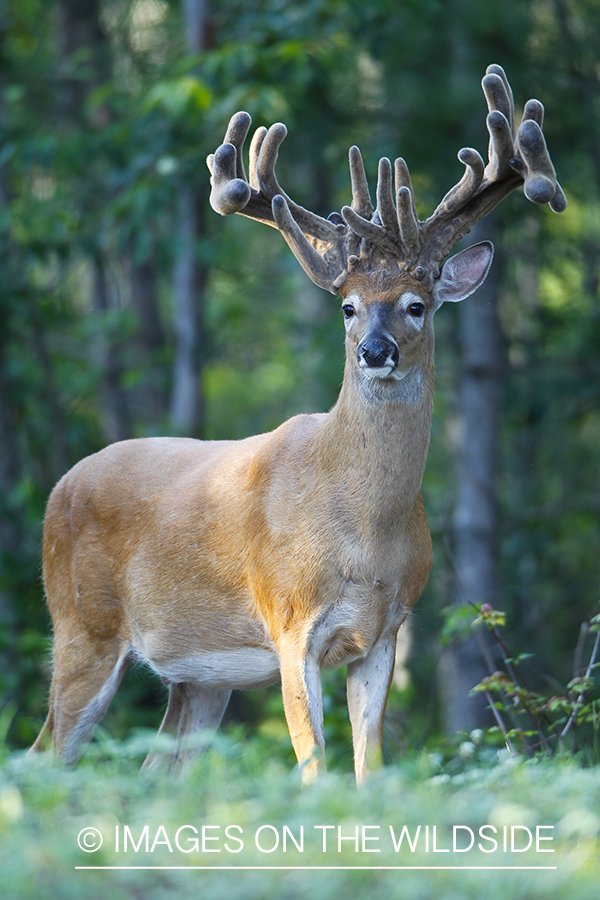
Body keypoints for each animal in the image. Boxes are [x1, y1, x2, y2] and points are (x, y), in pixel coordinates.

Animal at [35, 67, 564, 780]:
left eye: (417, 305)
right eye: (347, 306)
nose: (376, 352)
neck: (364, 535)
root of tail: (61, 486)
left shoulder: (385, 632)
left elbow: (370, 770)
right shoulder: (289, 624)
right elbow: (314, 768)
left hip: (200, 676)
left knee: (156, 769)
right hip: (81, 627)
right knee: (45, 754)